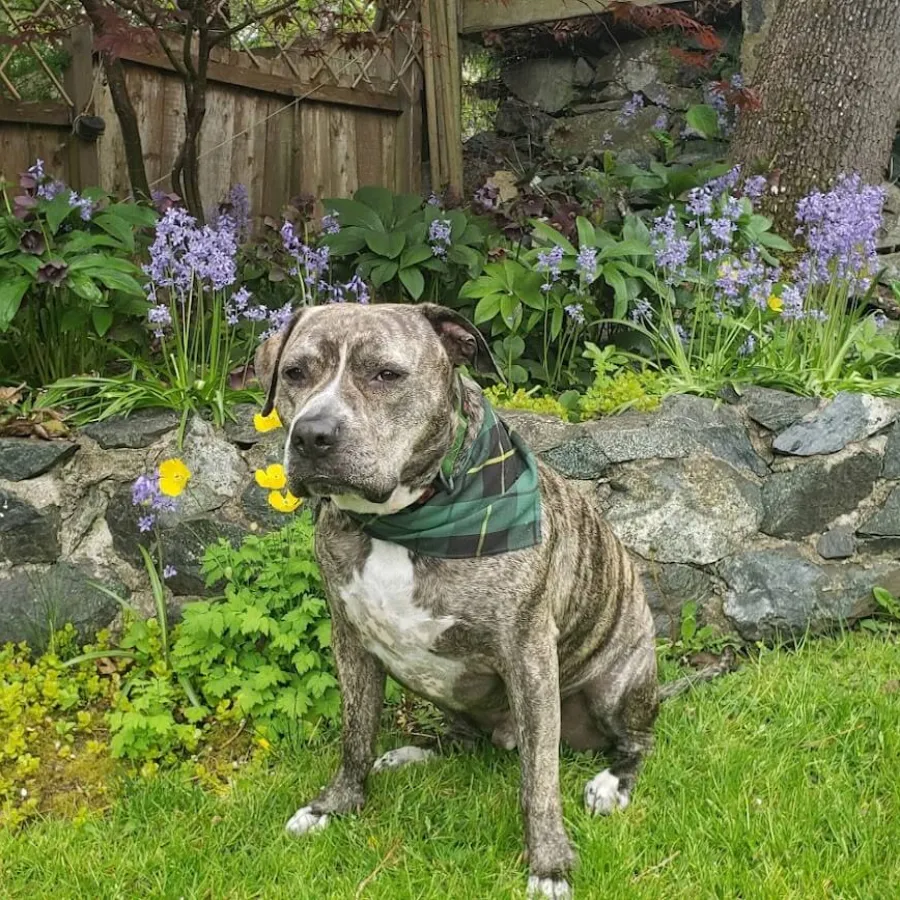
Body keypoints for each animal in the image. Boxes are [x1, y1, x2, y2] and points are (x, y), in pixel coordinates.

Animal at [256, 304, 656, 900]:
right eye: (295, 373)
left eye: (387, 375)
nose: (312, 434)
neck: (404, 518)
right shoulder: (350, 640)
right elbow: (355, 736)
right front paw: (334, 806)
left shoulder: (528, 654)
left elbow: (540, 781)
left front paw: (549, 863)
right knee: (466, 740)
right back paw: (414, 753)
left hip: (616, 685)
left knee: (636, 741)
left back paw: (612, 782)